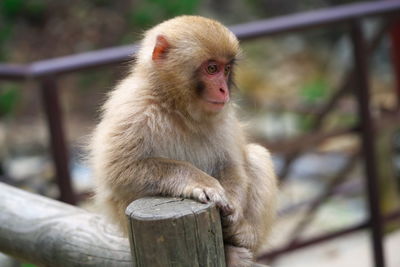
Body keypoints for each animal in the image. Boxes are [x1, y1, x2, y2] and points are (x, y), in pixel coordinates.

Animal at [90, 15, 278, 266]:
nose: (223, 90)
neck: (177, 109)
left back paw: (243, 237)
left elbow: (232, 165)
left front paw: (234, 211)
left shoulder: (224, 118)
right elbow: (119, 171)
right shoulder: (132, 110)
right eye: (211, 68)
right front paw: (202, 182)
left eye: (226, 69)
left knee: (257, 156)